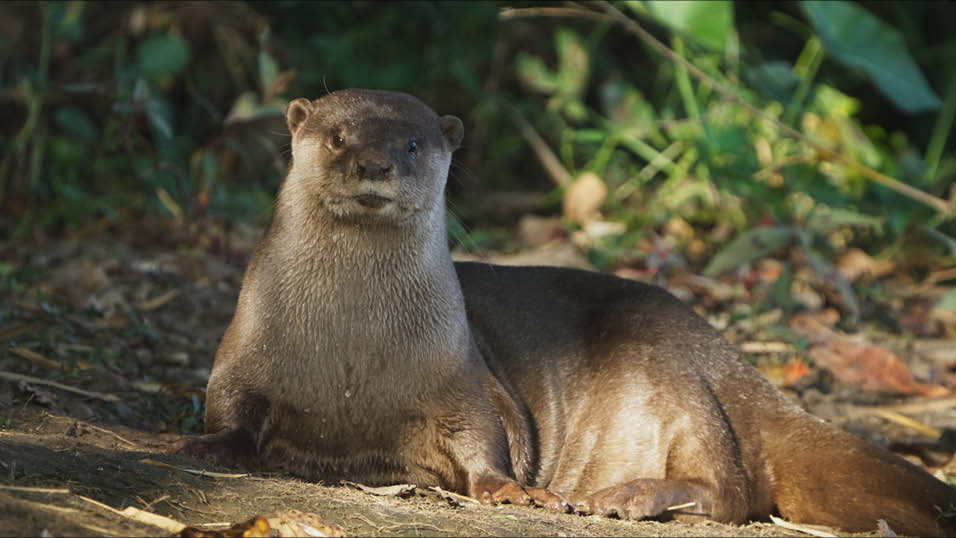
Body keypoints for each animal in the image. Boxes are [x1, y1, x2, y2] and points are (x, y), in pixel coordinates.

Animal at [174, 89, 956, 536]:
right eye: (338, 136)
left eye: (412, 143)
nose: (374, 164)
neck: (350, 359)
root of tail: (737, 364)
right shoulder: (242, 356)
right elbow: (231, 415)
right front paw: (207, 449)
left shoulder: (464, 378)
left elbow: (487, 444)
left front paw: (515, 493)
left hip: (677, 380)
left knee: (736, 489)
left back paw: (626, 498)